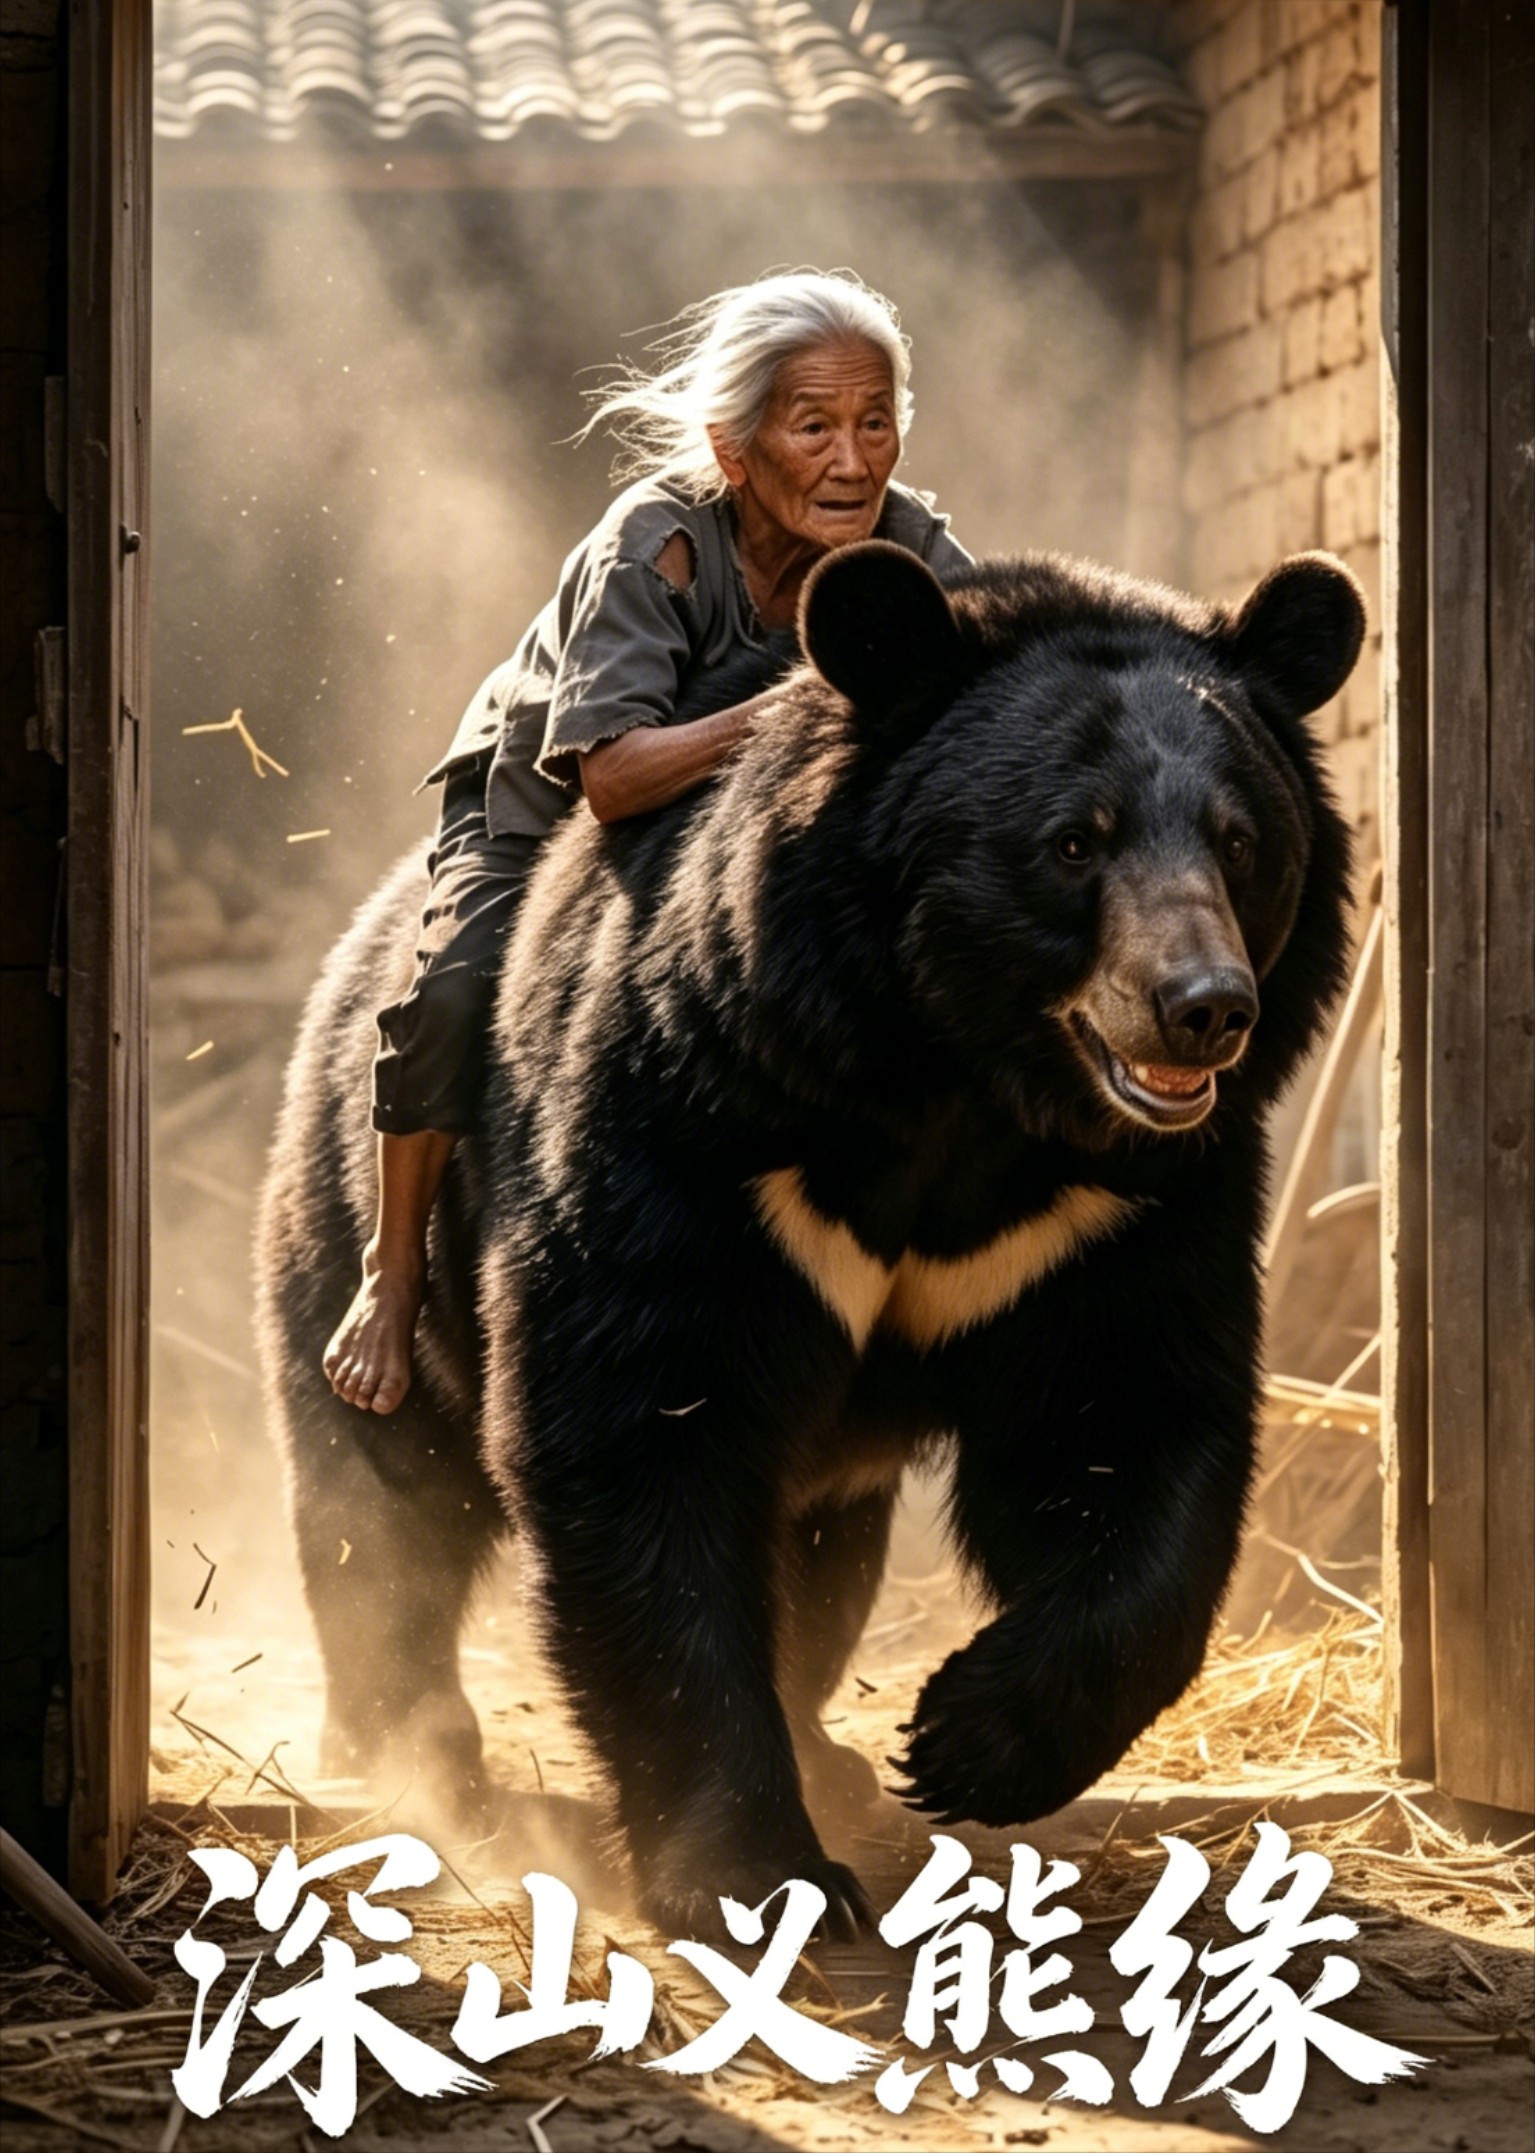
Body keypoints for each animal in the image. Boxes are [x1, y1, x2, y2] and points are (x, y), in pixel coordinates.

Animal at [256, 540, 1362, 1942]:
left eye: (1240, 841)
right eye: (1073, 840)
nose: (1203, 1009)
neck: (960, 1085)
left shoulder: (1123, 1205)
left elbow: (1124, 1416)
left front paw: (964, 1739)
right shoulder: (695, 1114)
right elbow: (639, 1430)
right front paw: (755, 1866)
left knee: (821, 1556)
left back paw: (829, 1749)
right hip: (359, 1217)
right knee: (381, 1504)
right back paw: (407, 1747)